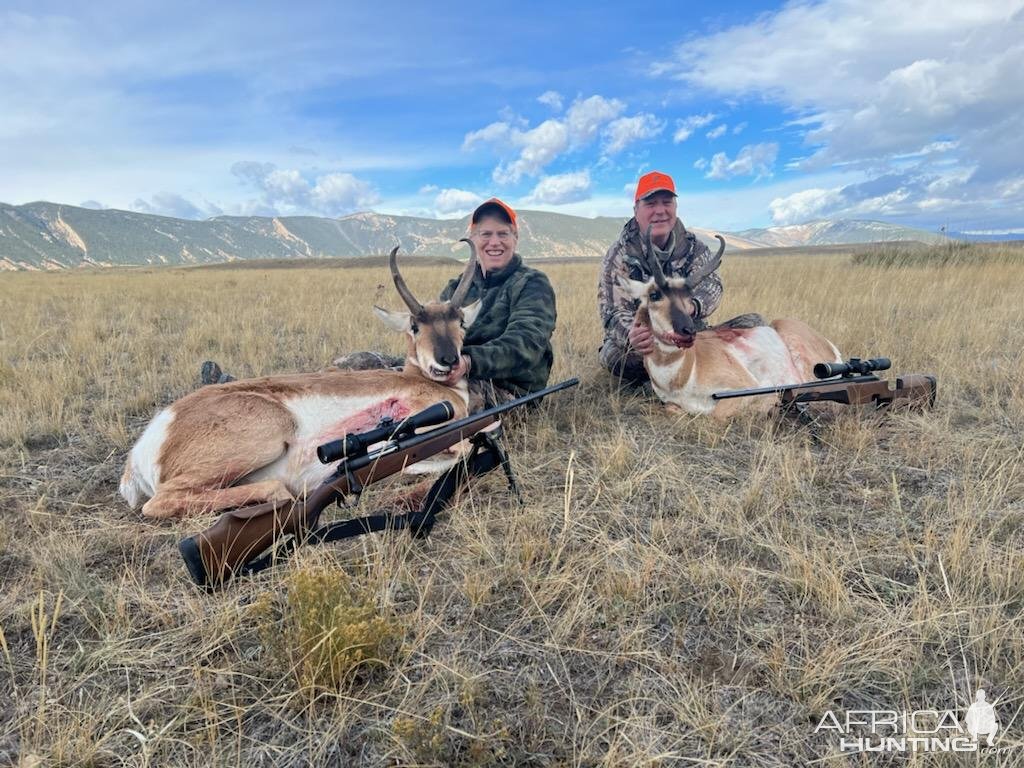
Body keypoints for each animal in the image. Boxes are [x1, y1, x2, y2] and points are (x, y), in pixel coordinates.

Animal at [117, 241, 485, 518]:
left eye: (461, 321)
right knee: (162, 501)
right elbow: (465, 447)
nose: (448, 360)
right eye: (414, 326)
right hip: (268, 434)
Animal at [614, 228, 839, 417]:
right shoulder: (672, 403)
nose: (688, 331)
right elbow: (671, 409)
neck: (687, 371)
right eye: (654, 295)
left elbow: (716, 415)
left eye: (690, 297)